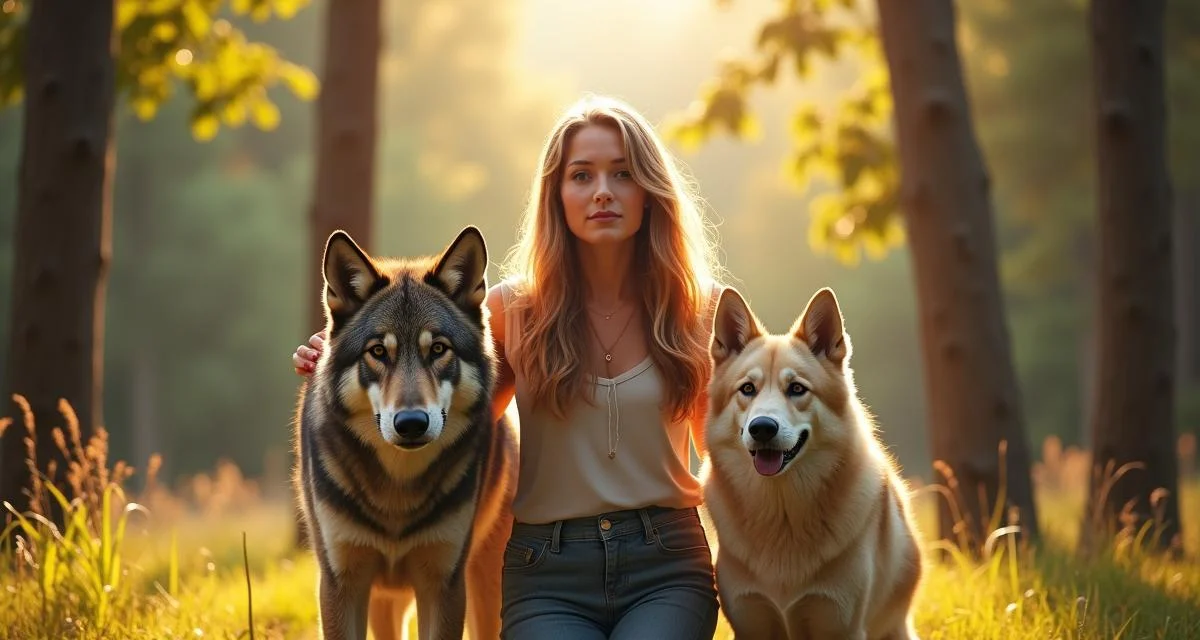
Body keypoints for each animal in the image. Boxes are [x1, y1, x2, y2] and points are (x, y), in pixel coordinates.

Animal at [294, 226, 516, 633]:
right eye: (378, 352)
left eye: (438, 349)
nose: (411, 423)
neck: (396, 492)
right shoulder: (340, 584)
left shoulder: (443, 585)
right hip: (386, 599)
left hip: (485, 582)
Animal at [700, 286, 921, 638]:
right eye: (747, 388)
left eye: (796, 389)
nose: (762, 428)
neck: (783, 516)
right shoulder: (751, 622)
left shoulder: (841, 624)